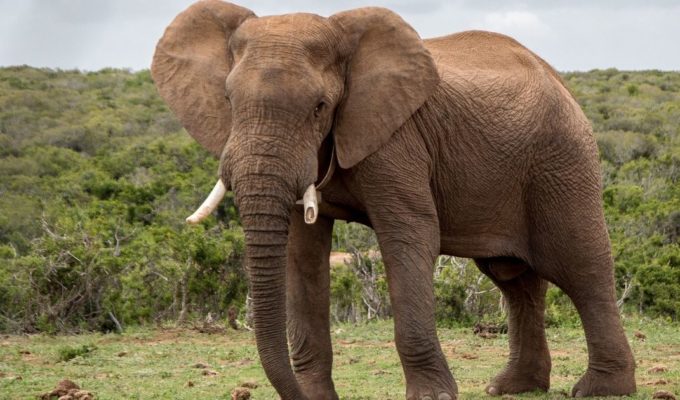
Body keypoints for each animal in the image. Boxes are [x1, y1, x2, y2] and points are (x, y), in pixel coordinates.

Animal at [151, 1, 636, 399]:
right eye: (228, 100)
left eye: (320, 106)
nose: (295, 395)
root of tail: (557, 77)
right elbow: (301, 253)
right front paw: (315, 397)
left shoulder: (397, 139)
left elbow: (410, 234)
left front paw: (433, 397)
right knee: (514, 278)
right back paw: (513, 388)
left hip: (562, 159)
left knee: (581, 266)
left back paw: (601, 389)